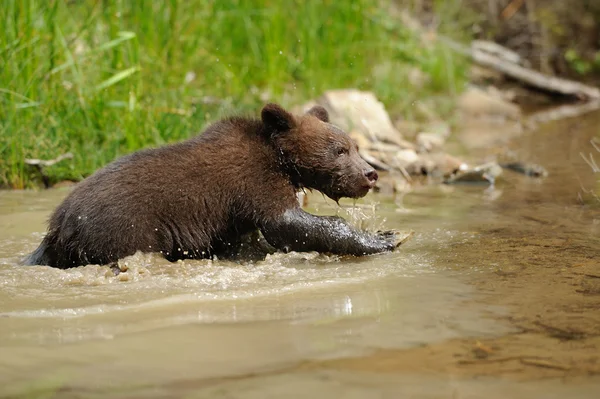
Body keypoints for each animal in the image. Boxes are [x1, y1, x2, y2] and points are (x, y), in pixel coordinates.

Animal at [25, 104, 406, 270]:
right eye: (340, 150)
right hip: (125, 228)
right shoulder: (252, 181)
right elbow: (286, 223)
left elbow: (248, 240)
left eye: (354, 145)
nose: (370, 173)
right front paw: (385, 237)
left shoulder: (233, 215)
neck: (281, 159)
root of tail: (58, 223)